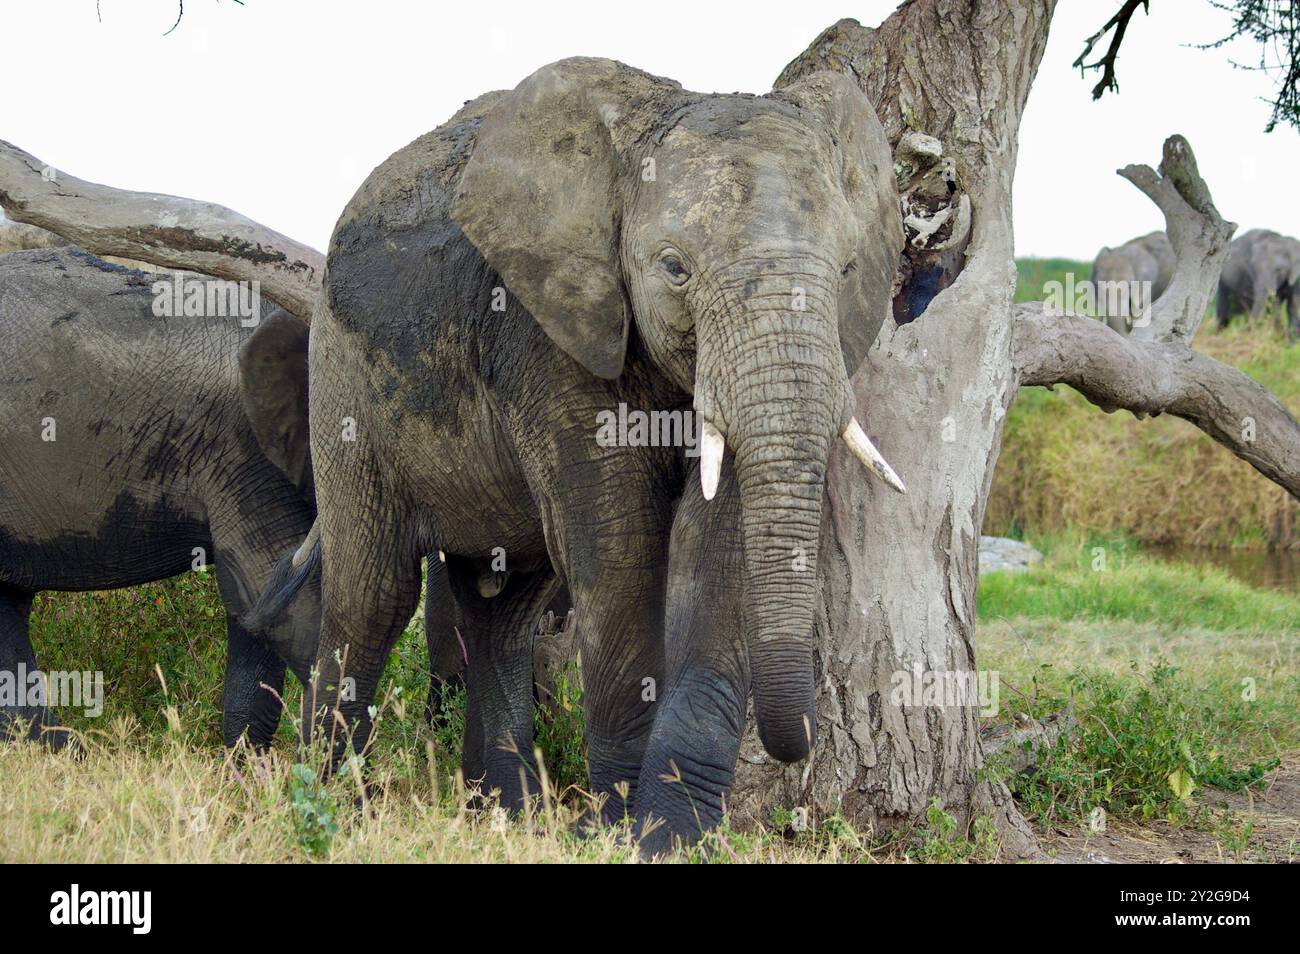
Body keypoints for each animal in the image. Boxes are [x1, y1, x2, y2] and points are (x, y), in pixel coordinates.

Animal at [253, 54, 904, 842]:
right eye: (674, 268)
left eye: (846, 272)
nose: (795, 745)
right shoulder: (547, 329)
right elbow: (620, 549)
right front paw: (617, 831)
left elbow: (720, 547)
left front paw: (672, 838)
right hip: (341, 379)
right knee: (374, 594)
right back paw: (325, 808)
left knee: (502, 606)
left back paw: (505, 816)